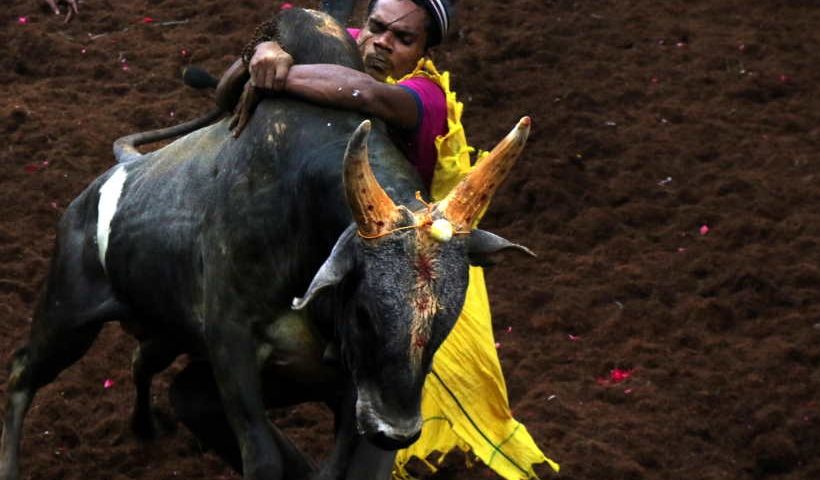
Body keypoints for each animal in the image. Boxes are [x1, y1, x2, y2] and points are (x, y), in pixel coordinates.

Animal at [0, 8, 532, 480]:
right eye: (364, 311)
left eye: (447, 316)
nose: (396, 432)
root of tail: (108, 179)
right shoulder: (231, 342)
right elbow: (264, 459)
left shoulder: (355, 387)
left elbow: (343, 467)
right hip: (67, 319)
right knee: (22, 372)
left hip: (162, 331)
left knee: (141, 361)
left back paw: (146, 427)